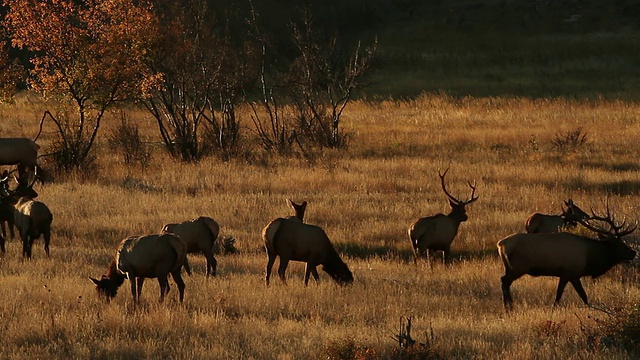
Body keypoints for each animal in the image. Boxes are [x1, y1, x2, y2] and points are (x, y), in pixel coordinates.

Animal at [498, 204, 636, 310]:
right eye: (618, 244)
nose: (633, 252)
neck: (590, 258)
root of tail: (501, 244)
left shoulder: (571, 274)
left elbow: (581, 296)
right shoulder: (569, 272)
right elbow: (567, 295)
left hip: (510, 267)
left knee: (505, 282)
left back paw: (510, 306)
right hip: (518, 267)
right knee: (504, 281)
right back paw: (508, 307)